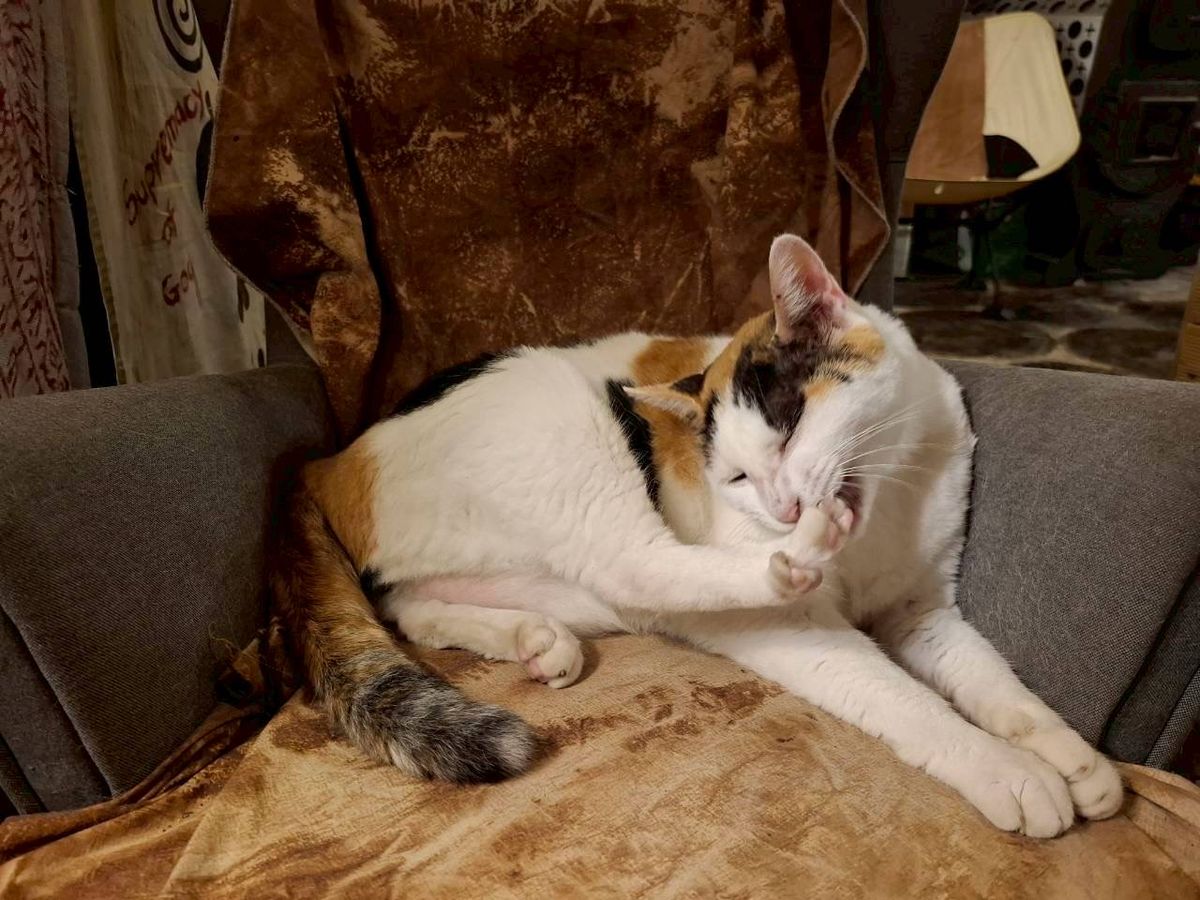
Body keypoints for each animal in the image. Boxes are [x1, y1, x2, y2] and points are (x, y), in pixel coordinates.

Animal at [273, 233, 1123, 837]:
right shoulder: (798, 631)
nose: (785, 507)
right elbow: (908, 700)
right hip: (572, 423)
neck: (887, 509)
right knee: (642, 565)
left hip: (544, 578)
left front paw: (1073, 759)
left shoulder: (923, 611)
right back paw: (786, 563)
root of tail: (329, 458)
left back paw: (534, 640)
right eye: (736, 477)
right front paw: (1007, 772)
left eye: (790, 425)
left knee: (411, 608)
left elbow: (993, 682)